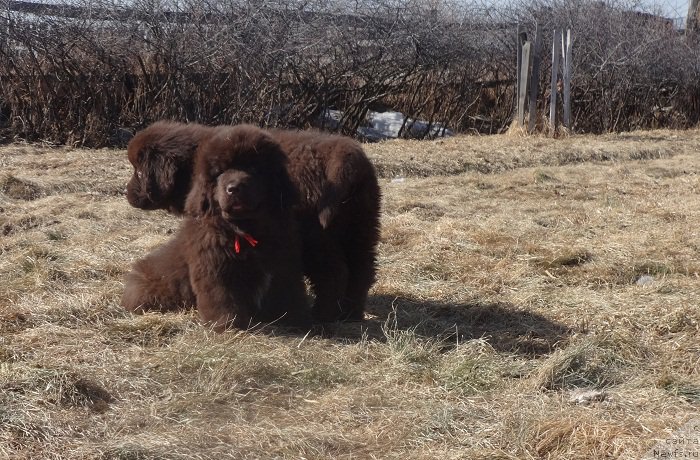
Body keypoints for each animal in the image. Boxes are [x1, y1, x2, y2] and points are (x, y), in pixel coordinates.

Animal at [183, 126, 308, 330]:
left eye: (254, 169)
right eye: (220, 172)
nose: (234, 188)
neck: (246, 228)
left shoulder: (283, 263)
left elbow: (287, 293)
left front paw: (294, 319)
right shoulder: (216, 266)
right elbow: (222, 296)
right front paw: (227, 323)